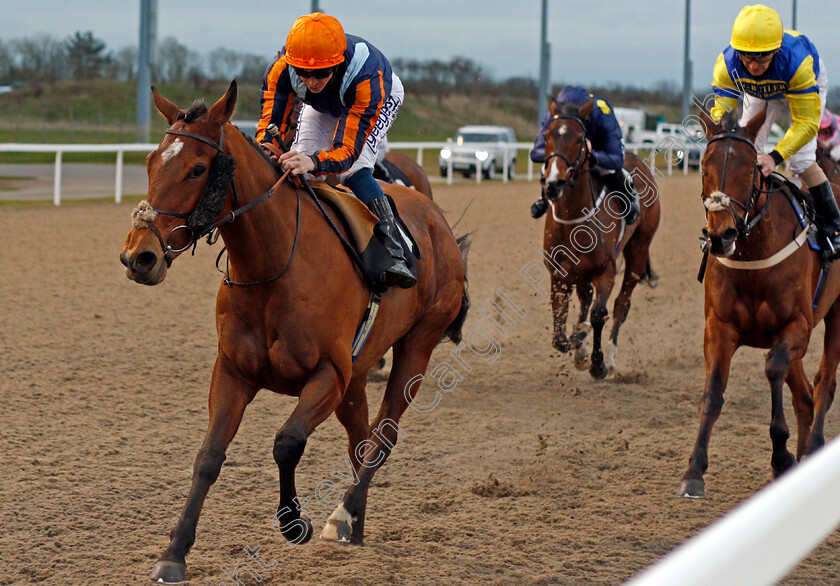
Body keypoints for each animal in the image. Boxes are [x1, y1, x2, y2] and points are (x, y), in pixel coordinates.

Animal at [120, 81, 470, 580]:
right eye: (151, 162)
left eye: (197, 169)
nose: (139, 257)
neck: (273, 266)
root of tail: (437, 219)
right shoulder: (233, 372)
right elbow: (208, 458)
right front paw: (173, 554)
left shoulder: (327, 375)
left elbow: (287, 442)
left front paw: (293, 523)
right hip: (358, 374)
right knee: (360, 439)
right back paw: (355, 524)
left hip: (416, 347)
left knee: (381, 438)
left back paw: (342, 517)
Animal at [540, 98, 660, 376]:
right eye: (548, 135)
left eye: (578, 139)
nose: (554, 183)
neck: (573, 220)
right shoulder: (558, 274)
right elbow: (559, 334)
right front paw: (579, 344)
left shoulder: (607, 270)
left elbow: (598, 314)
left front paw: (597, 362)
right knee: (585, 299)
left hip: (639, 248)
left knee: (621, 305)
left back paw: (611, 357)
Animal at [680, 107, 840, 496]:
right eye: (703, 166)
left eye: (751, 168)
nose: (721, 236)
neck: (753, 251)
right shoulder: (719, 328)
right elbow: (713, 394)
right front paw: (694, 470)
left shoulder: (797, 326)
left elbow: (773, 368)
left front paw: (781, 455)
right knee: (805, 396)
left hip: (838, 315)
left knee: (824, 383)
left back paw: (812, 448)